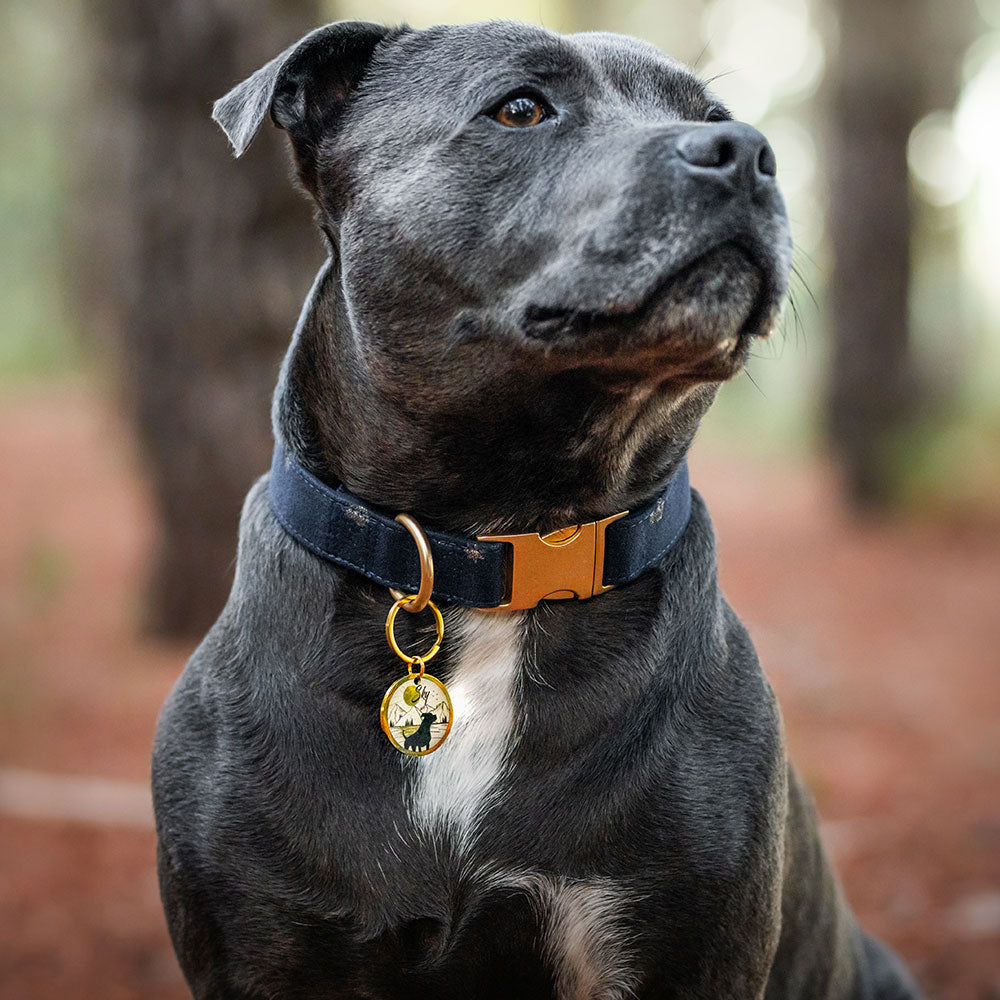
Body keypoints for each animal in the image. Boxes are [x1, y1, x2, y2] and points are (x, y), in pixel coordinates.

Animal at [152, 17, 924, 1000]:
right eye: (521, 108)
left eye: (716, 117)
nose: (747, 153)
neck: (496, 555)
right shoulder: (263, 947)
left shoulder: (666, 940)